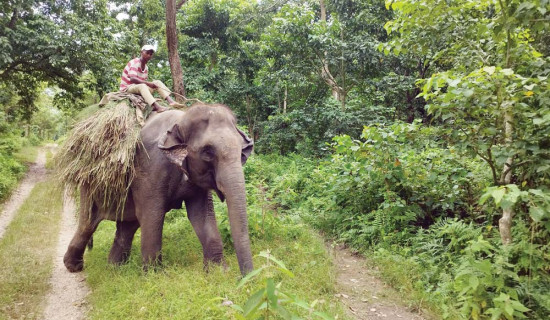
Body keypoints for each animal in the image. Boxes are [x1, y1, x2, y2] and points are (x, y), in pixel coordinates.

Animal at [62, 102, 254, 276]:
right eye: (207, 152)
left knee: (127, 226)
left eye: (242, 151)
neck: (180, 119)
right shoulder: (150, 167)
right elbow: (152, 215)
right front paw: (155, 277)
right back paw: (74, 267)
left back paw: (114, 269)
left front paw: (218, 272)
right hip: (90, 186)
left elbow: (201, 215)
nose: (245, 278)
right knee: (88, 223)